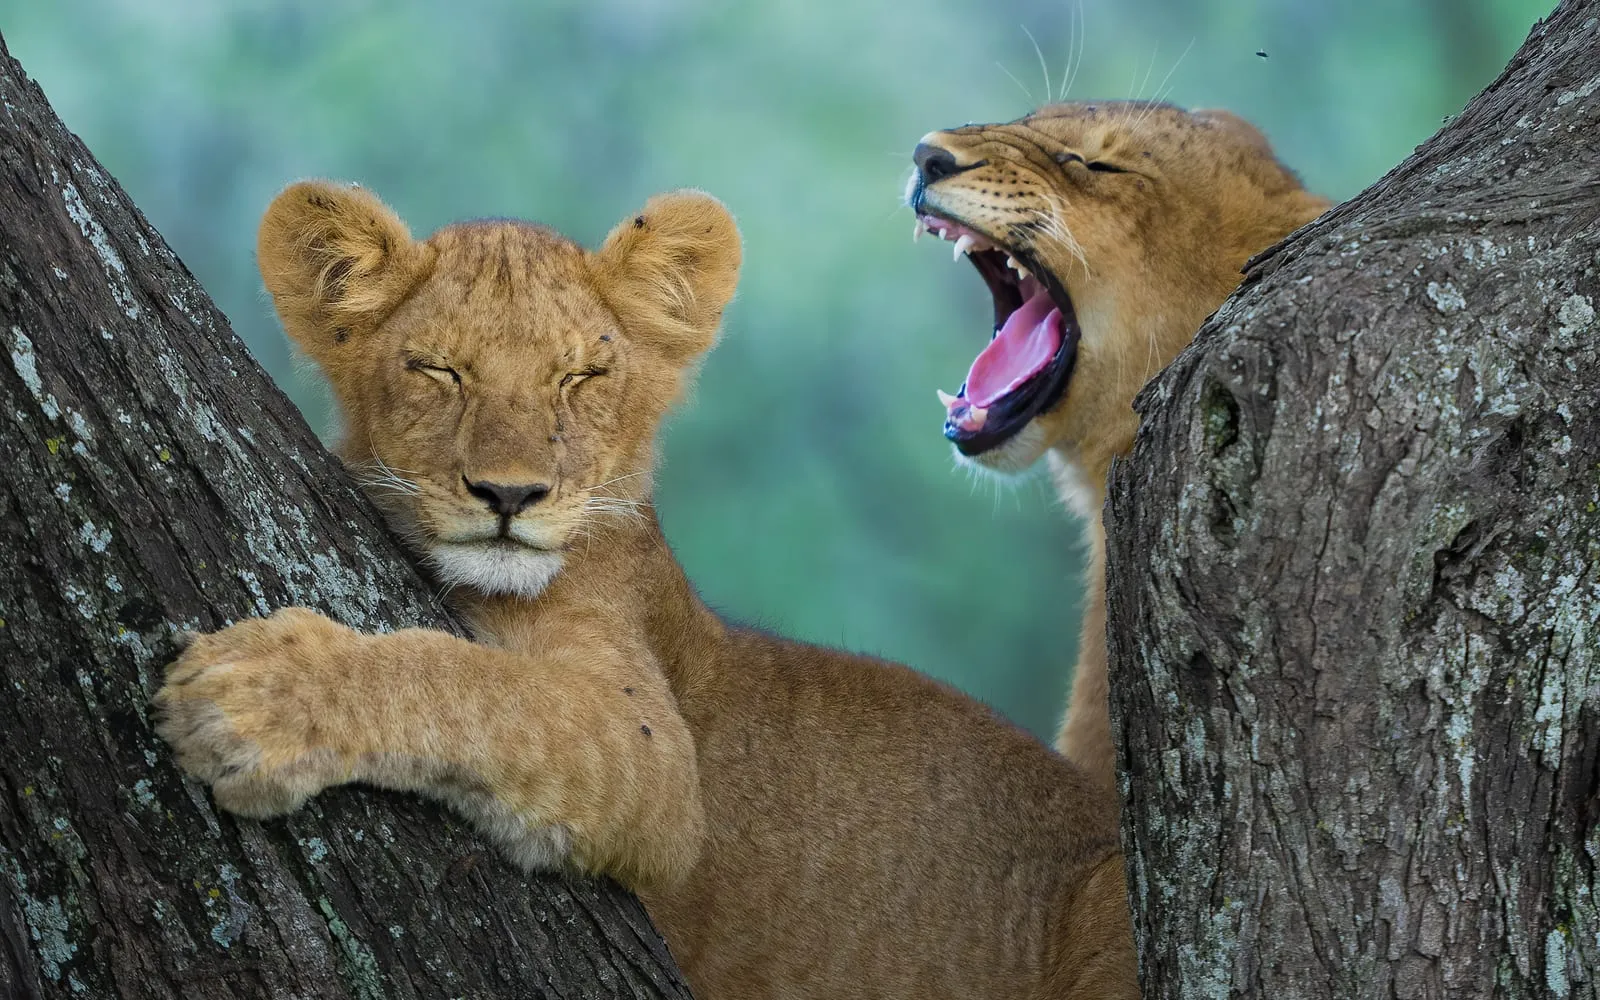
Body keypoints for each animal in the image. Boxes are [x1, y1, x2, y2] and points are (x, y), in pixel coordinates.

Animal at [156, 182, 1137, 999]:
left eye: (580, 377)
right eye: (438, 370)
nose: (509, 495)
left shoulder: (656, 759)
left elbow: (470, 686)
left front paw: (259, 699)